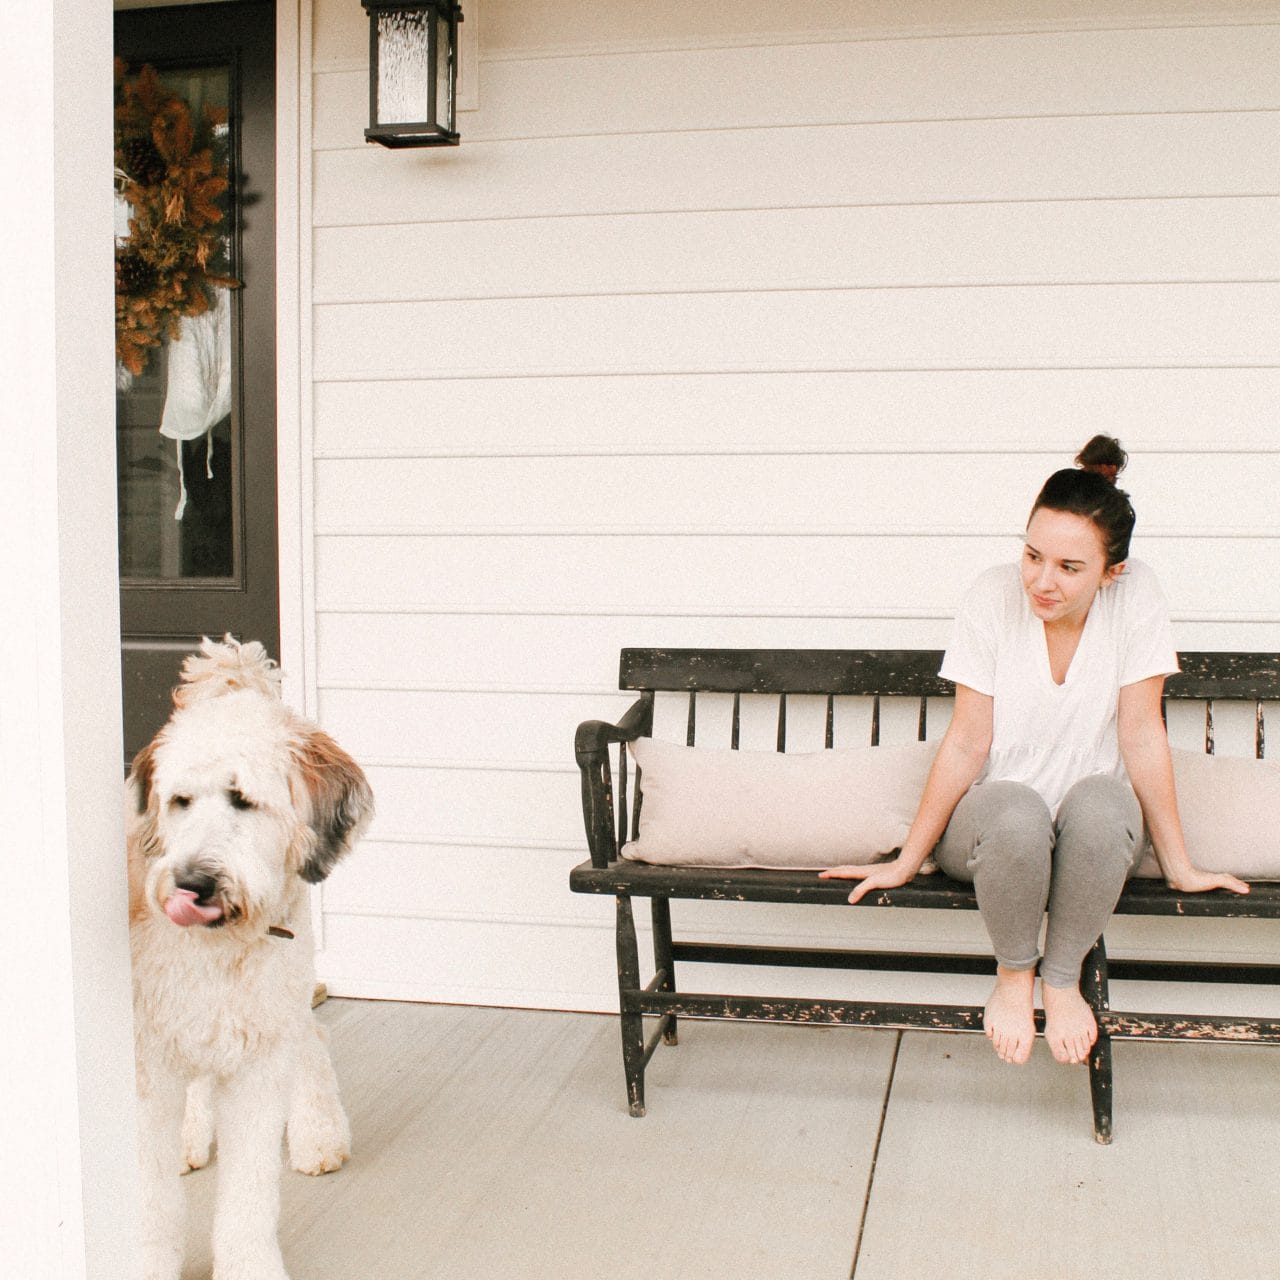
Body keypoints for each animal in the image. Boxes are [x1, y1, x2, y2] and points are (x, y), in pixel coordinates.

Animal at [126, 637, 373, 1280]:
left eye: (243, 800)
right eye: (180, 801)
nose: (191, 883)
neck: (219, 952)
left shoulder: (258, 1059)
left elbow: (248, 1195)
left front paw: (247, 1265)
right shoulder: (149, 1058)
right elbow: (151, 1198)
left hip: (287, 988)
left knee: (313, 1039)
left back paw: (318, 1133)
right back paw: (190, 1138)